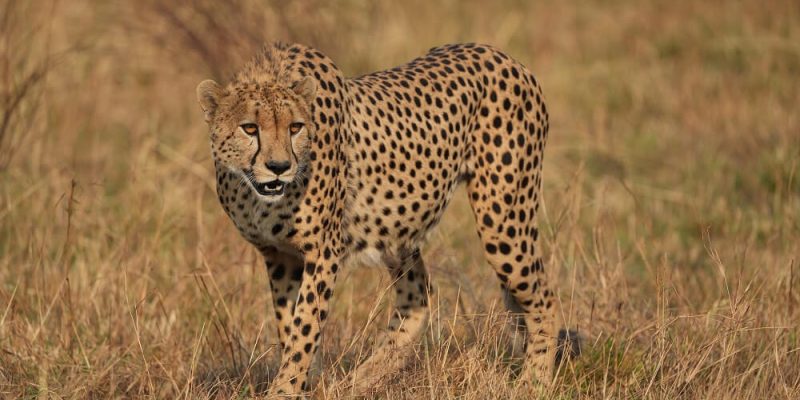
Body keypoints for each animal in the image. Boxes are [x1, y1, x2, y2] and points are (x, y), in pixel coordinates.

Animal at [195, 41, 558, 397]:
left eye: (295, 127)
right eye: (250, 128)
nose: (279, 166)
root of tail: (503, 56)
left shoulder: (323, 252)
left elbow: (304, 328)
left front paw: (285, 389)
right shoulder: (280, 256)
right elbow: (291, 327)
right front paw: (306, 383)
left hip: (503, 221)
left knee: (545, 296)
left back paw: (535, 381)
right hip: (397, 227)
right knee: (419, 294)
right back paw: (360, 380)